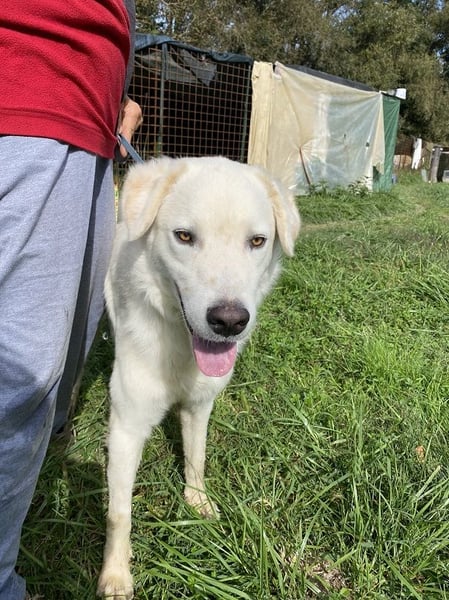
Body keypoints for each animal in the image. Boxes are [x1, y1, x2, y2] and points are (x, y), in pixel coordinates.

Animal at [97, 156, 300, 599]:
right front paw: (116, 574)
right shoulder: (126, 428)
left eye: (257, 241)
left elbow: (196, 457)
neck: (178, 343)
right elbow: (119, 514)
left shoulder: (199, 405)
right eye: (185, 236)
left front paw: (196, 501)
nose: (229, 321)